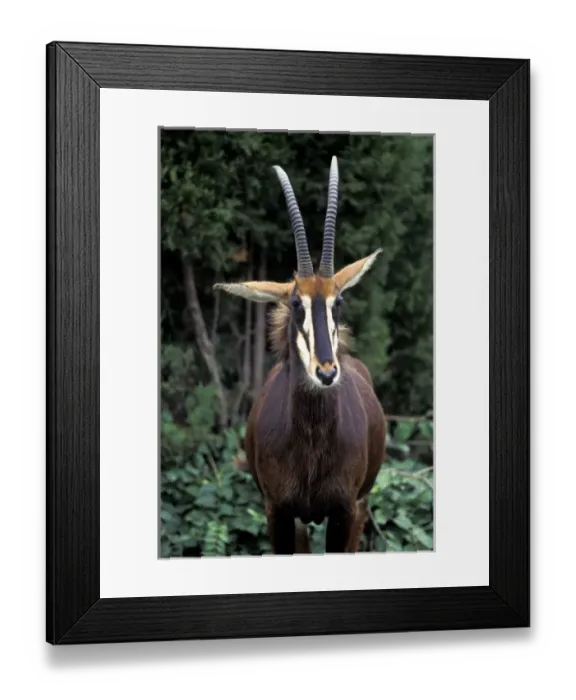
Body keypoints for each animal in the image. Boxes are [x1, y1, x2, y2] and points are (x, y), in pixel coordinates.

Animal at [214, 156, 386, 554]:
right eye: (295, 303)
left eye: (338, 301)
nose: (326, 372)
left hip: (359, 506)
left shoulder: (343, 512)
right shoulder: (277, 512)